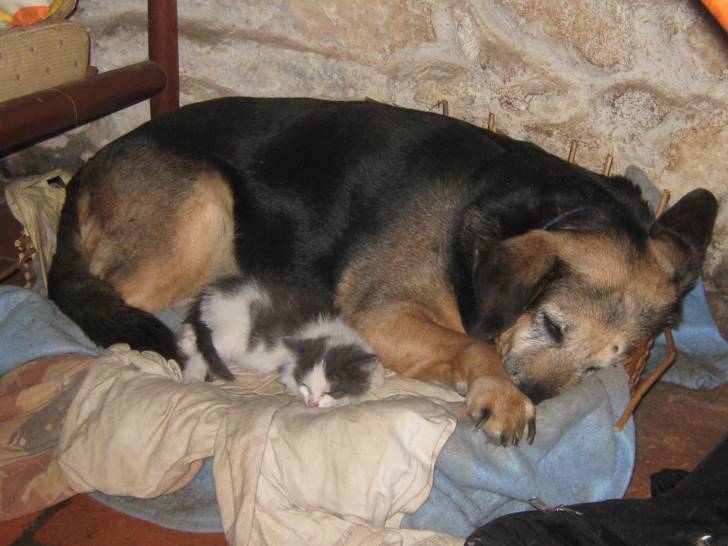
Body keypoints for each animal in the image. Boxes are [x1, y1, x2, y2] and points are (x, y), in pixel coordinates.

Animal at [178, 275, 384, 408]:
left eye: (328, 391)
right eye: (306, 386)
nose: (312, 404)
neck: (330, 330)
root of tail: (212, 293)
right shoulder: (288, 369)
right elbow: (291, 380)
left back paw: (185, 341)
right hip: (231, 332)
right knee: (204, 350)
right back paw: (193, 375)